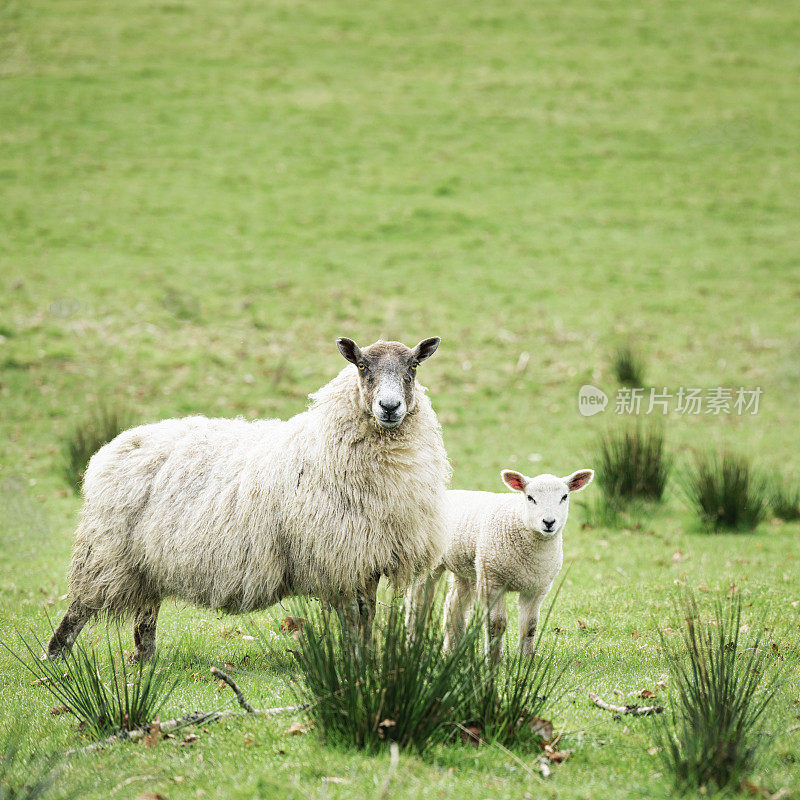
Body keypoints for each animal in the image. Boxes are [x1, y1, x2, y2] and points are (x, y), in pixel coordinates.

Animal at [47, 334, 450, 660]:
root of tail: (115, 444)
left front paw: (367, 663)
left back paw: (145, 661)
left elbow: (367, 616)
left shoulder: (367, 555)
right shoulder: (340, 556)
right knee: (79, 608)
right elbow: (355, 618)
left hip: (146, 562)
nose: (390, 407)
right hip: (106, 552)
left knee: (145, 616)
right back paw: (55, 658)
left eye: (413, 367)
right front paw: (357, 667)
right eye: (363, 366)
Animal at [416, 466, 592, 660]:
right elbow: (496, 624)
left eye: (564, 497)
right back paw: (412, 643)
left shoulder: (537, 588)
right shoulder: (492, 582)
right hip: (429, 560)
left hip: (468, 569)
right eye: (530, 497)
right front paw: (494, 659)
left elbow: (530, 625)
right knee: (418, 601)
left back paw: (452, 652)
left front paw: (525, 659)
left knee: (453, 606)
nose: (549, 522)